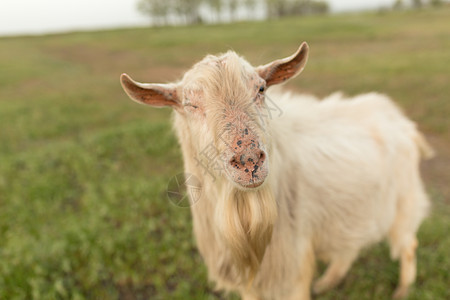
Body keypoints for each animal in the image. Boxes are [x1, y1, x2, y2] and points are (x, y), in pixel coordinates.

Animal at [119, 42, 432, 300]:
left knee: (408, 245)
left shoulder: (291, 267)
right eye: (190, 104)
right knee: (349, 247)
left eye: (261, 89)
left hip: (402, 203)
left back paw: (403, 290)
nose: (249, 160)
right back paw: (328, 282)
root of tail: (400, 119)